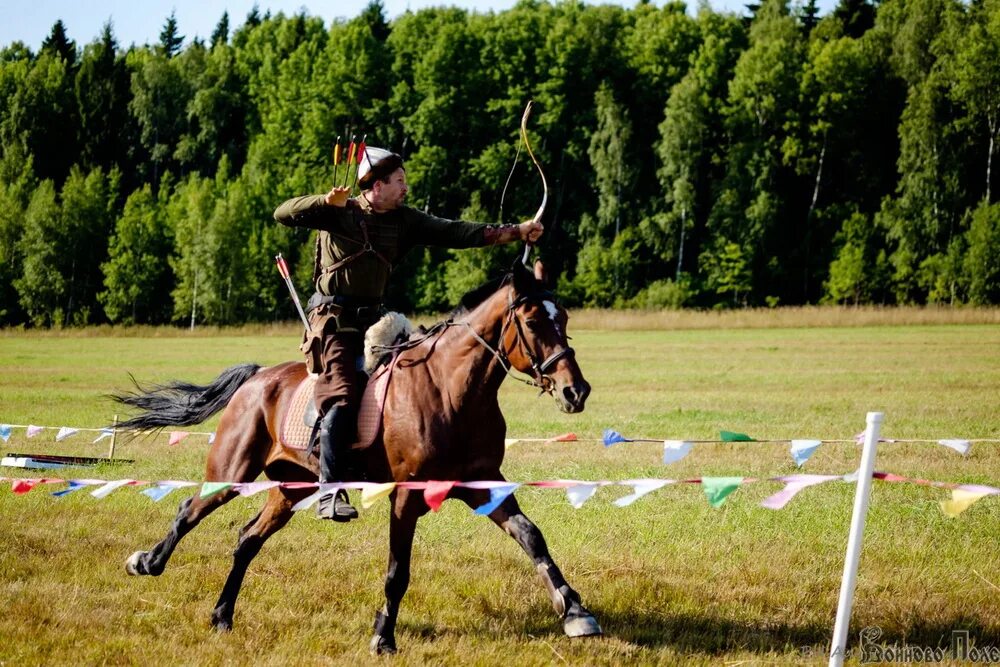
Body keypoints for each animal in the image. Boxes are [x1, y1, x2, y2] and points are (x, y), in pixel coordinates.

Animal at [117, 264, 600, 656]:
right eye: (534, 321)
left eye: (564, 320)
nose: (576, 391)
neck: (451, 390)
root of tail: (257, 378)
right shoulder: (407, 496)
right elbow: (397, 571)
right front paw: (383, 636)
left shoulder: (482, 484)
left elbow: (531, 535)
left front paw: (575, 610)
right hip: (232, 470)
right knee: (190, 508)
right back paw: (148, 562)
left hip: (291, 488)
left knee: (247, 538)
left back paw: (222, 615)